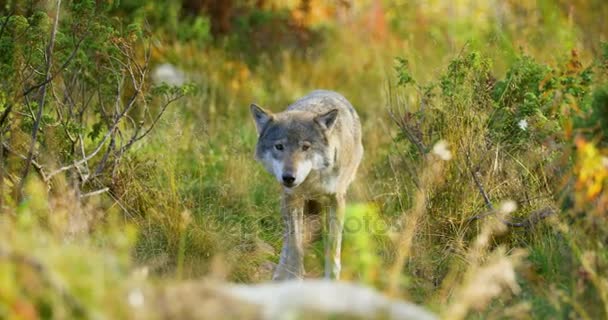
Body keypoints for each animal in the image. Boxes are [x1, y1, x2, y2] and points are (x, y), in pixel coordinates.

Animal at [251, 90, 364, 280]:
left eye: (305, 147)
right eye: (279, 147)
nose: (289, 177)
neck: (311, 181)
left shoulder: (336, 199)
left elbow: (333, 248)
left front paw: (331, 280)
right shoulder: (293, 198)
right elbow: (295, 247)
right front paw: (294, 277)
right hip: (288, 202)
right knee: (288, 242)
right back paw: (280, 273)